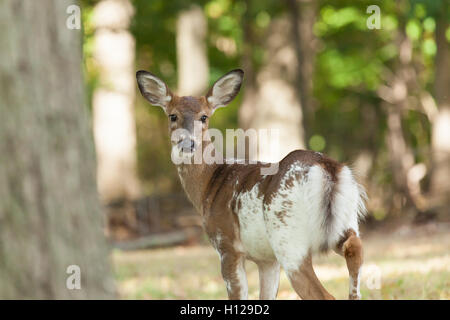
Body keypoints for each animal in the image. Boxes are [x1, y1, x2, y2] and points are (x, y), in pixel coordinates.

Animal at [135, 69, 368, 300]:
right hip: (344, 222)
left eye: (204, 116)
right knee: (354, 250)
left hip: (288, 236)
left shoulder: (227, 244)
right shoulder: (266, 259)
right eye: (173, 115)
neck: (210, 183)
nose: (187, 144)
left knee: (323, 294)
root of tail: (328, 167)